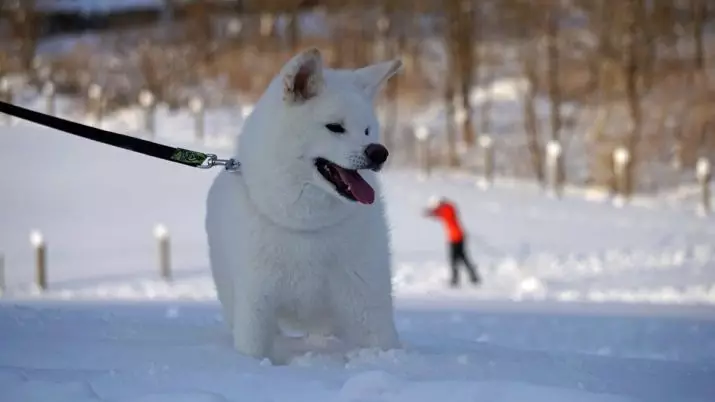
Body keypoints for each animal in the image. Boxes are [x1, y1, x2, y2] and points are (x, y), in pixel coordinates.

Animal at [206, 48, 402, 364]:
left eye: (367, 130)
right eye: (335, 127)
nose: (379, 152)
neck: (307, 226)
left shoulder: (367, 299)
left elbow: (383, 344)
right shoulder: (255, 303)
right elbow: (252, 349)